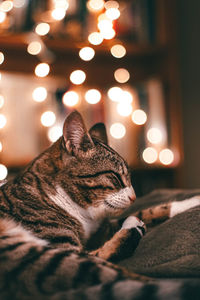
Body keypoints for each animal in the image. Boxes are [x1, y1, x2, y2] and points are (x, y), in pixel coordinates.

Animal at [0, 110, 199, 300]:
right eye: (116, 177)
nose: (134, 197)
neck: (84, 215)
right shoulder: (63, 245)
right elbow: (104, 251)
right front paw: (133, 225)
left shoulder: (101, 228)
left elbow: (146, 211)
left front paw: (191, 201)